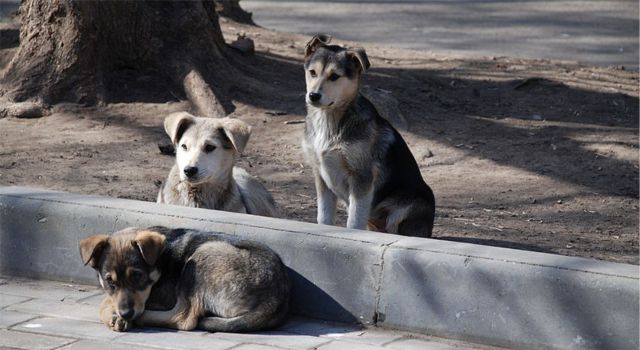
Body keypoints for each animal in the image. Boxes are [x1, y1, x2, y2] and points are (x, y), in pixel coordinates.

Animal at [79, 227, 290, 334]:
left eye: (137, 276)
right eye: (110, 281)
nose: (126, 314)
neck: (160, 261)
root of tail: (274, 300)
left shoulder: (161, 297)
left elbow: (104, 303)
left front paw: (115, 316)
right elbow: (108, 299)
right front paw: (115, 316)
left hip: (203, 255)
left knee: (184, 318)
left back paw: (140, 319)